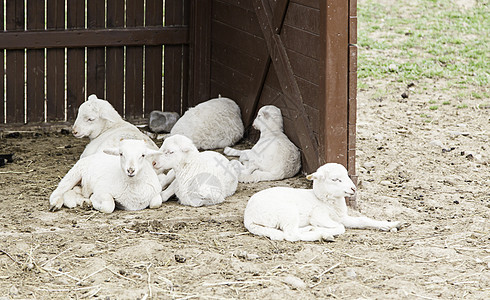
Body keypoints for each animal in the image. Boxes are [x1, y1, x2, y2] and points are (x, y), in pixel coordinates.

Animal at [243, 163, 404, 243]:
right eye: (335, 179)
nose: (353, 188)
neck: (326, 201)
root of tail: (249, 218)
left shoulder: (341, 217)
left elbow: (362, 220)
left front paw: (391, 224)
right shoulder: (319, 216)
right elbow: (340, 228)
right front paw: (324, 231)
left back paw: (309, 229)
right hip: (287, 212)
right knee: (291, 235)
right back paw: (320, 234)